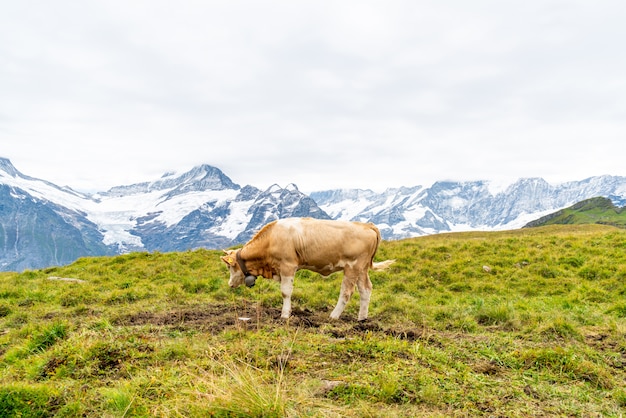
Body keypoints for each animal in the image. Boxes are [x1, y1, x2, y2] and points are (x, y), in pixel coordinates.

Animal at [222, 217, 392, 322]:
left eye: (229, 266)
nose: (229, 284)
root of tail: (366, 225)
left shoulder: (288, 266)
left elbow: (285, 292)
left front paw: (285, 315)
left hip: (353, 267)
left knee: (346, 292)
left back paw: (333, 316)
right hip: (362, 269)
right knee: (365, 289)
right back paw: (362, 318)